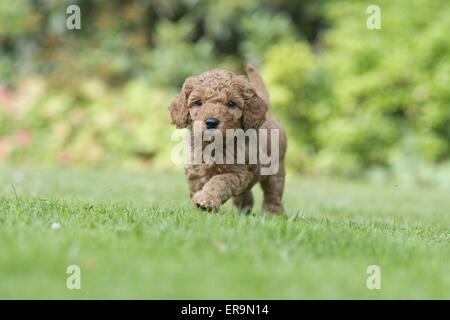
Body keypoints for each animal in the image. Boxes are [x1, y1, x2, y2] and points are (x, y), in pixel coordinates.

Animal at [171, 65, 286, 214]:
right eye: (198, 102)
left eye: (231, 103)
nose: (211, 122)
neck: (214, 146)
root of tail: (270, 116)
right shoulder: (195, 171)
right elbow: (195, 188)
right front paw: (199, 208)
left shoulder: (238, 173)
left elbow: (219, 181)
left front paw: (206, 200)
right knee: (244, 196)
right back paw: (243, 211)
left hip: (276, 171)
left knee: (273, 192)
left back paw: (272, 212)